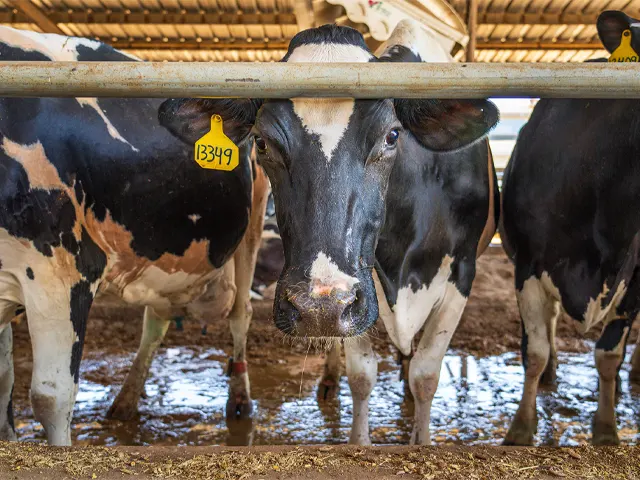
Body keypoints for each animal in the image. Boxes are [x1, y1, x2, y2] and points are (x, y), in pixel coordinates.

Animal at [0, 27, 268, 445]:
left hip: (254, 221)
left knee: (242, 314)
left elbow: (50, 397)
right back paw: (125, 401)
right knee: (157, 319)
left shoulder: (64, 271)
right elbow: (4, 381)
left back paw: (239, 402)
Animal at [160, 20, 499, 444]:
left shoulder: (461, 273)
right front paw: (359, 441)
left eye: (392, 136)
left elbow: (425, 375)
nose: (318, 306)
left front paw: (419, 441)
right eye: (261, 141)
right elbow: (362, 375)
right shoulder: (362, 288)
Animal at [500, 9, 640, 446]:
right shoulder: (528, 266)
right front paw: (521, 428)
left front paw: (607, 429)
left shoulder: (637, 278)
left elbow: (609, 354)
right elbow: (535, 350)